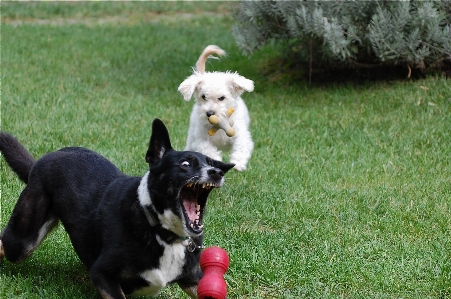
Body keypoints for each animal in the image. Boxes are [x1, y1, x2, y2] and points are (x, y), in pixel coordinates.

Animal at [2, 118, 237, 298]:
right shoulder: (103, 275)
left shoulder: (193, 279)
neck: (160, 230)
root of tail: (39, 162)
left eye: (211, 163)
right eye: (185, 164)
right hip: (23, 242)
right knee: (6, 243)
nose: (217, 172)